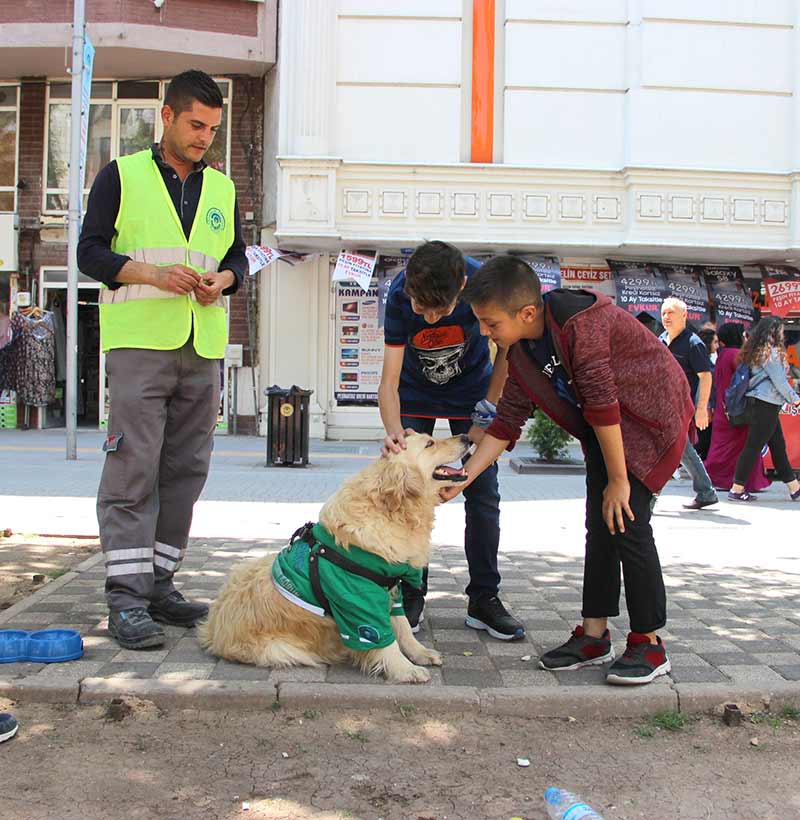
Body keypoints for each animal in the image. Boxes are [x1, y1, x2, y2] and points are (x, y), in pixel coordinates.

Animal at [198, 432, 472, 684]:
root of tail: (213, 629)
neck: (392, 510)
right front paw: (405, 669)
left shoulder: (389, 588)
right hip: (283, 648)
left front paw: (420, 653)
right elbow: (384, 639)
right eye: (430, 443)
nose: (467, 437)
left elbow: (403, 625)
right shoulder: (358, 597)